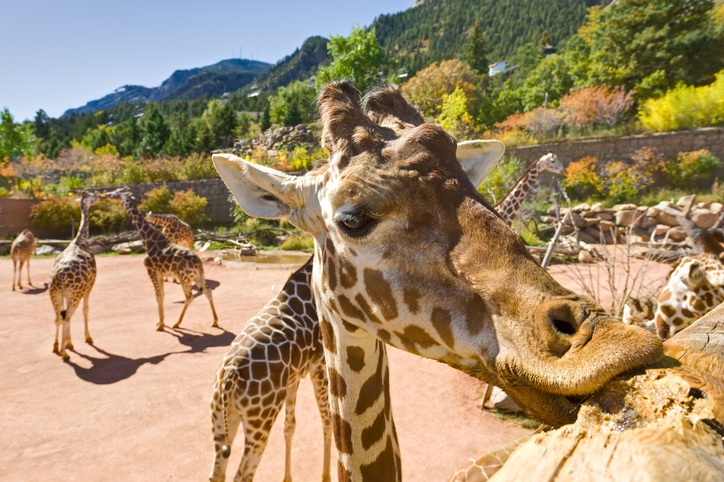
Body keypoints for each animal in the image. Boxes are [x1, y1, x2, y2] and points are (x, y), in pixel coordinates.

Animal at [47, 190, 101, 360]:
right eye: (93, 195)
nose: (100, 196)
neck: (80, 239)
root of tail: (61, 278)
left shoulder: (66, 294)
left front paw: (69, 343)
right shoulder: (90, 285)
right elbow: (86, 309)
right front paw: (87, 338)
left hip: (55, 294)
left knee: (59, 317)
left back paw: (56, 347)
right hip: (75, 294)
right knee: (66, 316)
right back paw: (64, 353)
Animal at [103, 187, 218, 332]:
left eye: (115, 193)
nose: (105, 195)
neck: (147, 239)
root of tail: (198, 263)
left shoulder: (151, 270)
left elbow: (158, 297)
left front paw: (161, 325)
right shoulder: (160, 273)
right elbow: (162, 295)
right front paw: (160, 322)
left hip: (184, 277)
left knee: (189, 297)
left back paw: (177, 323)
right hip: (197, 276)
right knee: (207, 291)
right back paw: (215, 321)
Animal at [209, 260, 334, 482]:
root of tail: (230, 375)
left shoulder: (293, 378)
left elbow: (289, 426)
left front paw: (287, 478)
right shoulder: (318, 365)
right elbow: (326, 419)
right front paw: (326, 476)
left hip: (221, 419)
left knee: (217, 474)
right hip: (259, 424)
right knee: (242, 475)